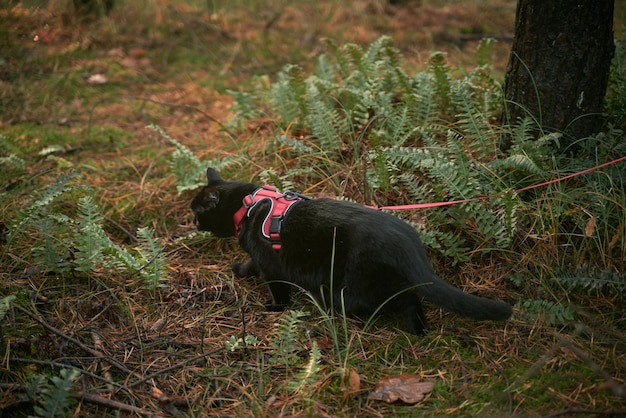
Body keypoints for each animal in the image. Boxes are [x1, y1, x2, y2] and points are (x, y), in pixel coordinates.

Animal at [191, 168, 512, 334]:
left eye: (197, 210)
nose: (191, 221)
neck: (247, 206)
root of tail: (407, 240)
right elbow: (251, 264)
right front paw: (240, 270)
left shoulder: (272, 265)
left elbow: (278, 290)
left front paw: (272, 308)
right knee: (411, 299)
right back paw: (420, 329)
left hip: (352, 289)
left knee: (400, 302)